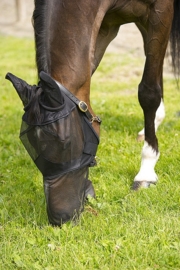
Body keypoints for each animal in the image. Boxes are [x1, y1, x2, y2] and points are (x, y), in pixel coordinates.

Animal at [5, 0, 180, 226]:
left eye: (66, 144)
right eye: (29, 145)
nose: (62, 218)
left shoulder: (160, 11)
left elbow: (149, 92)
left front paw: (146, 171)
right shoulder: (105, 25)